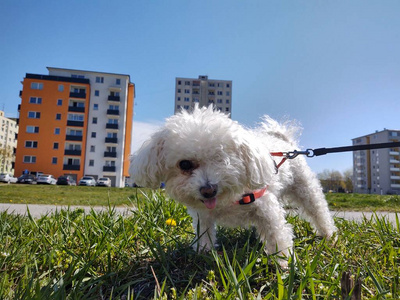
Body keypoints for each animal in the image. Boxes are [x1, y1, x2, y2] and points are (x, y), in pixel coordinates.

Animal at [130, 105, 336, 268]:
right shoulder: (202, 216)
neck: (227, 200)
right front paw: (203, 252)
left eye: (222, 159)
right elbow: (204, 233)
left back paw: (329, 234)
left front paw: (284, 262)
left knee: (318, 210)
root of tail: (284, 142)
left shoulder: (266, 208)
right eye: (185, 165)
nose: (208, 190)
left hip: (305, 187)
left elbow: (277, 234)